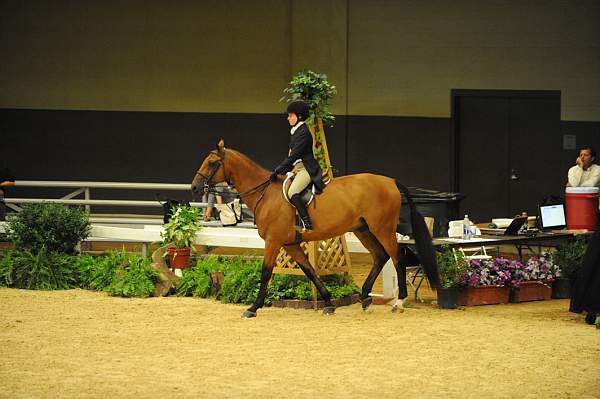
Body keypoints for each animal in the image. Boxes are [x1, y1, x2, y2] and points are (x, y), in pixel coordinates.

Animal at [192, 139, 440, 318]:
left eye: (212, 163)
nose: (195, 187)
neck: (265, 193)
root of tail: (391, 181)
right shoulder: (290, 244)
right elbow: (310, 271)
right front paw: (329, 303)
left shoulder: (273, 241)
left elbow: (266, 273)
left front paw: (253, 307)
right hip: (363, 229)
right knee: (380, 256)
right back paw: (365, 297)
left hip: (383, 228)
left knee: (397, 257)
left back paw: (399, 302)